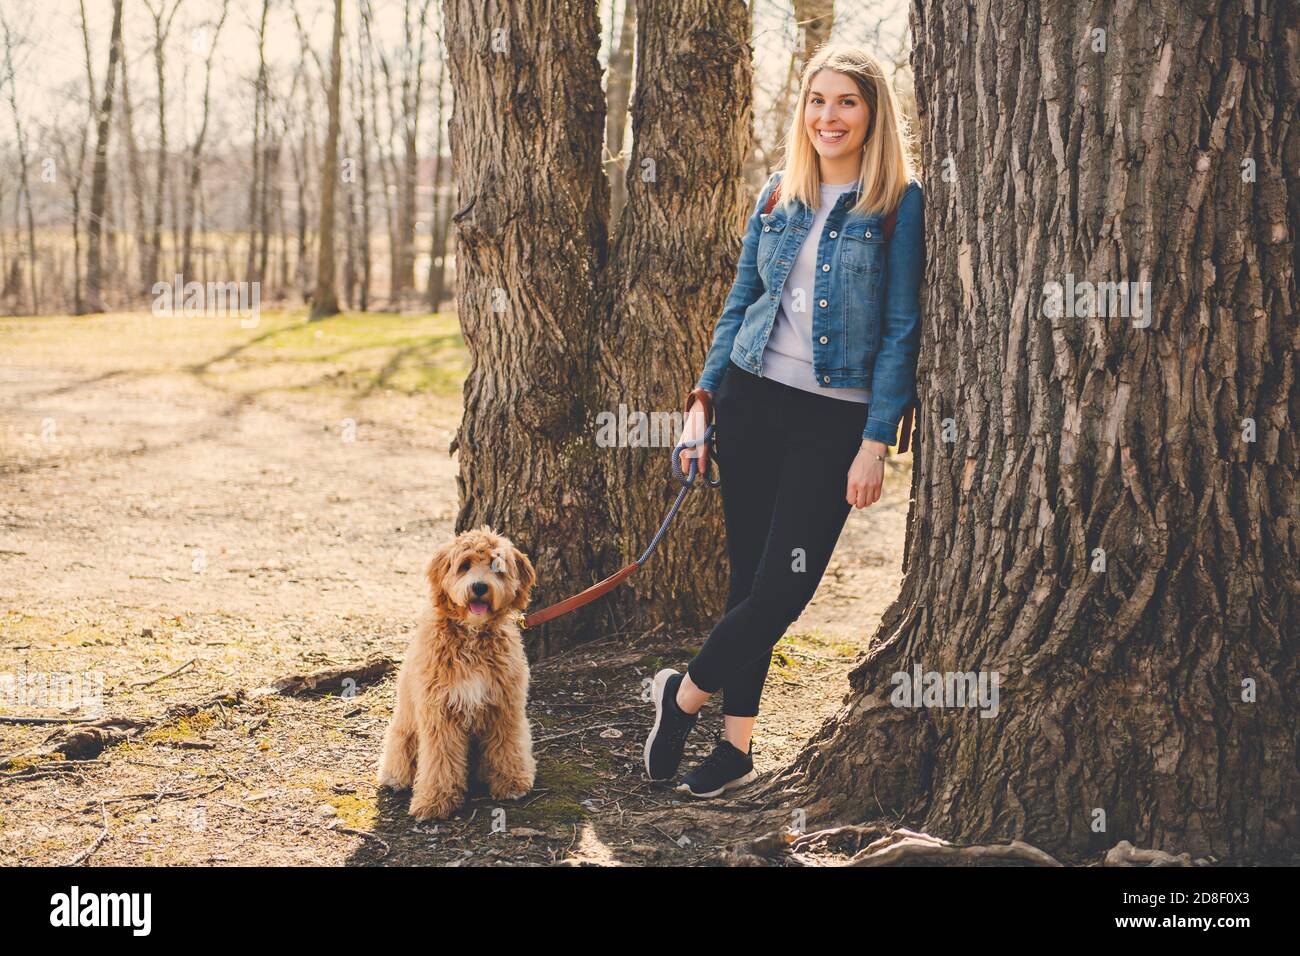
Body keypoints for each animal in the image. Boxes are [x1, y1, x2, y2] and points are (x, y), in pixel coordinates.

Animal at [379, 528, 535, 816]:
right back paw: (395, 778)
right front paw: (434, 800)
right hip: (404, 733)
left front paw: (512, 782)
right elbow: (440, 759)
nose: (480, 587)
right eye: (464, 565)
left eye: (497, 568)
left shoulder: (505, 706)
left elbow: (508, 745)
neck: (471, 637)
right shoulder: (439, 712)